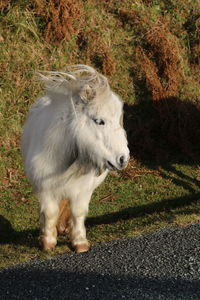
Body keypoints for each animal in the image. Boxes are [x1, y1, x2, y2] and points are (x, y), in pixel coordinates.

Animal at [21, 64, 129, 252]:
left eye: (118, 121)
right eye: (99, 121)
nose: (123, 159)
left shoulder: (82, 190)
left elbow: (77, 212)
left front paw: (79, 242)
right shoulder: (45, 189)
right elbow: (49, 212)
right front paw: (48, 241)